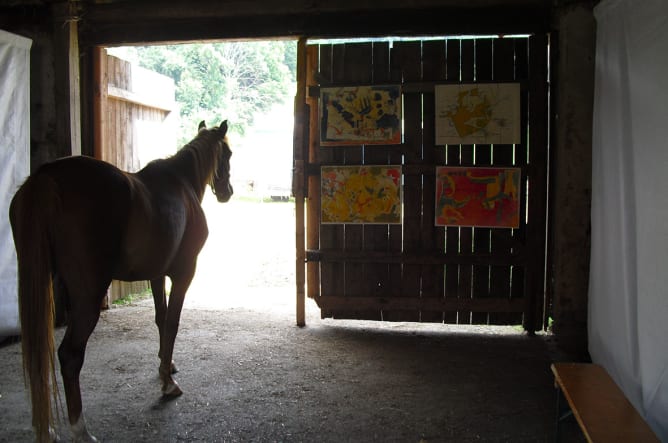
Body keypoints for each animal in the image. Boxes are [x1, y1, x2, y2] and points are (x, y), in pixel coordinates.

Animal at [7, 119, 232, 442]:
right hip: (87, 297)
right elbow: (172, 324)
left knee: (40, 352)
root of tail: (45, 177)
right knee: (69, 356)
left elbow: (161, 320)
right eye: (227, 154)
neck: (182, 183)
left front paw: (166, 366)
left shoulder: (156, 275)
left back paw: (44, 426)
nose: (227, 191)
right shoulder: (183, 273)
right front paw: (168, 384)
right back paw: (80, 429)